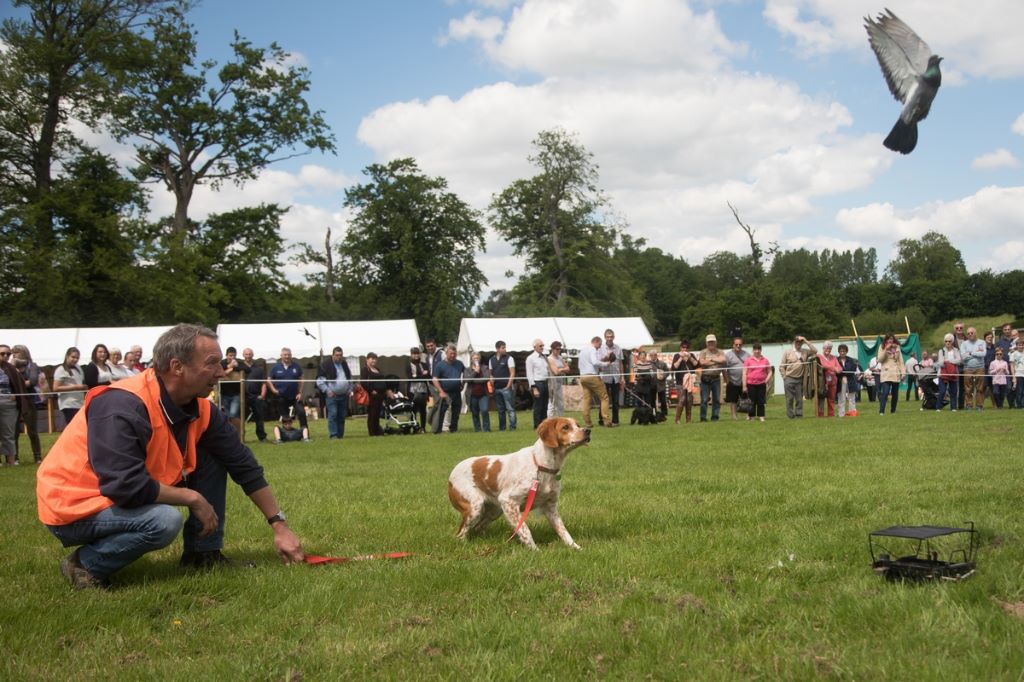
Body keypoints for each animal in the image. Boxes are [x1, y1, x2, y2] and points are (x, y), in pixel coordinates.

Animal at [448, 413, 593, 548]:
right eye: (565, 427)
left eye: (578, 425)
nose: (588, 430)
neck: (541, 465)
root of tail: (451, 474)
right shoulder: (508, 501)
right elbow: (524, 529)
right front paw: (535, 551)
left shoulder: (550, 506)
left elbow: (563, 531)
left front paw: (576, 548)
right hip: (475, 507)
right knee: (460, 533)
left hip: (495, 510)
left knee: (479, 527)